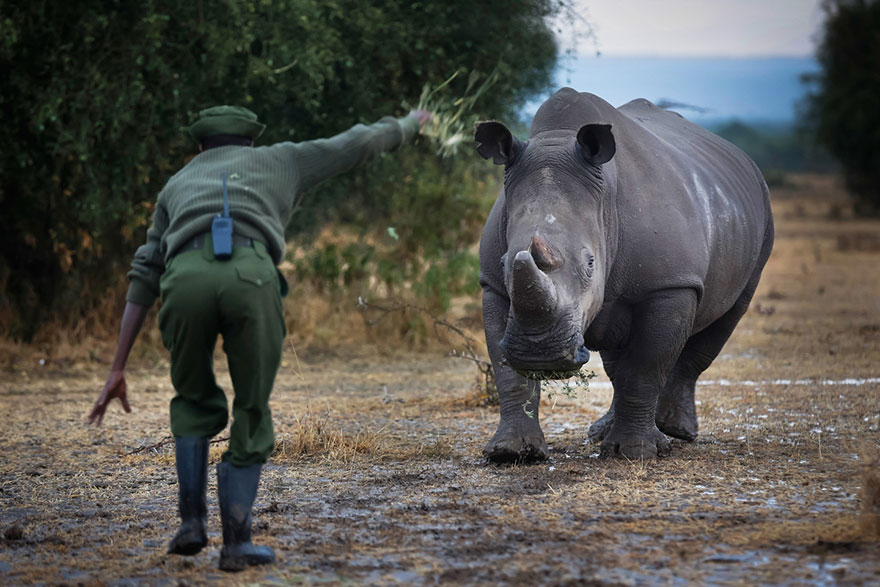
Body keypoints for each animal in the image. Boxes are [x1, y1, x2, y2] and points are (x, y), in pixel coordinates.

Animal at [474, 88, 774, 461]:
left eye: (590, 263)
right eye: (504, 263)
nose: (538, 353)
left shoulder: (669, 286)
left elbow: (646, 366)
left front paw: (633, 453)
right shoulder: (494, 285)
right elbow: (508, 372)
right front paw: (511, 453)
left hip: (761, 221)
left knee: (725, 320)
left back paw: (675, 432)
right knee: (617, 358)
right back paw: (605, 433)